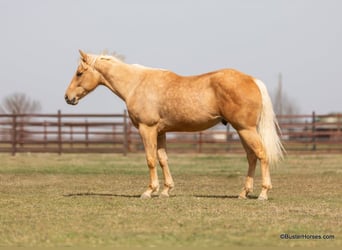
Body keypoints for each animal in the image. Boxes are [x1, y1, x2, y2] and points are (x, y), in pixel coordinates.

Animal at [64, 49, 284, 200]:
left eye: (79, 73)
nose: (68, 97)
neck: (136, 84)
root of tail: (252, 80)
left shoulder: (147, 129)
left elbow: (150, 159)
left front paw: (149, 191)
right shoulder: (160, 132)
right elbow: (163, 159)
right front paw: (166, 190)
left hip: (245, 130)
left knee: (261, 155)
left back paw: (263, 193)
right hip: (242, 130)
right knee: (252, 157)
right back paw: (243, 193)